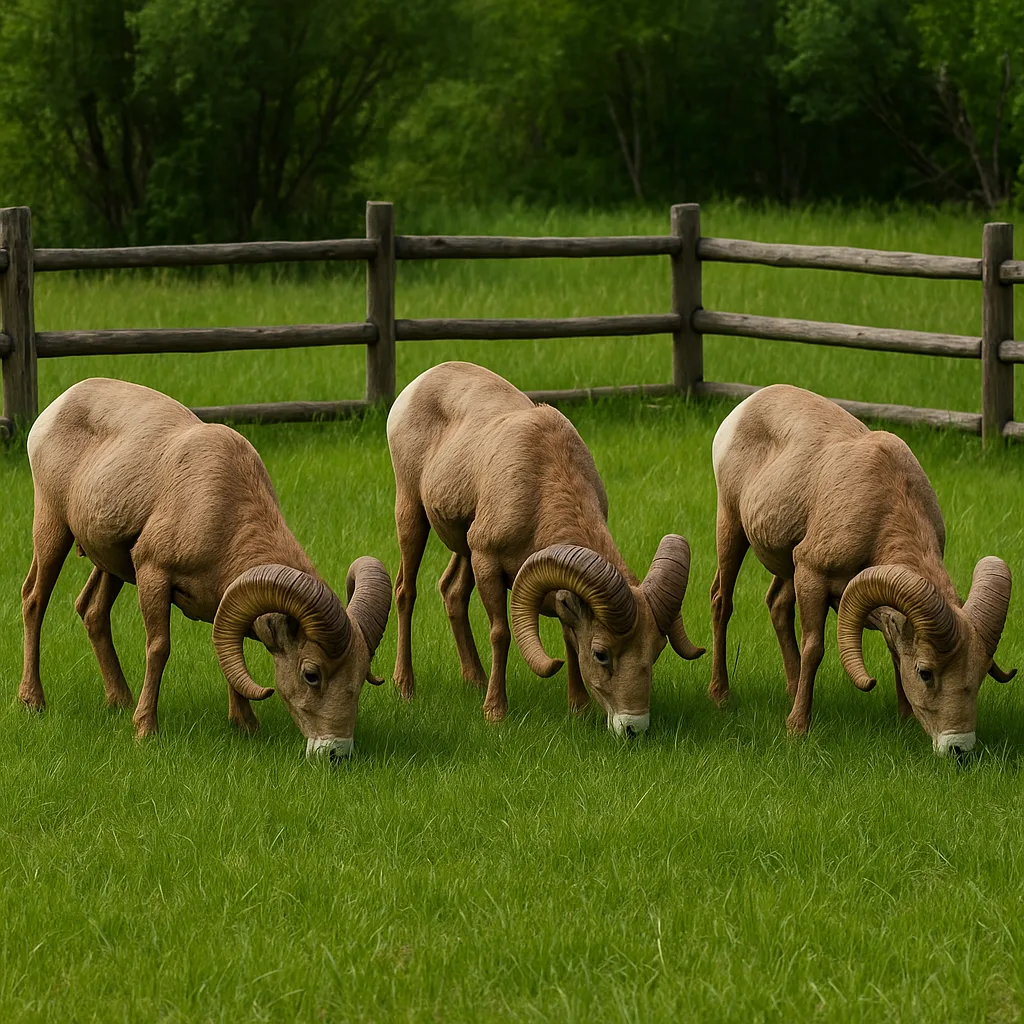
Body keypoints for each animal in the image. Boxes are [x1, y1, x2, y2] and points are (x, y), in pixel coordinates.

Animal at [19, 378, 392, 758]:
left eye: (362, 675)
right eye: (311, 674)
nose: (336, 752)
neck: (221, 511)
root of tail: (59, 404)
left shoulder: (221, 602)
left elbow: (226, 650)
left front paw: (245, 725)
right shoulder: (154, 575)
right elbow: (159, 648)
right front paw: (145, 730)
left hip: (111, 564)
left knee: (92, 611)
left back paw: (120, 700)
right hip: (53, 527)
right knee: (34, 600)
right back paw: (33, 701)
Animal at [385, 361, 703, 734]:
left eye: (655, 650)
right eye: (601, 654)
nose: (633, 727)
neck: (539, 490)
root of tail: (422, 381)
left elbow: (568, 639)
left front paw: (578, 709)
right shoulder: (488, 562)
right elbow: (501, 633)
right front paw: (495, 712)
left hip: (462, 546)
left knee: (452, 592)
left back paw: (475, 680)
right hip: (412, 514)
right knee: (405, 591)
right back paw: (405, 687)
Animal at [709, 383, 1014, 754]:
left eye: (980, 673)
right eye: (926, 672)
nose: (959, 748)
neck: (881, 513)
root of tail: (748, 405)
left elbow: (894, 649)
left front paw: (904, 718)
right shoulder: (812, 574)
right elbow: (814, 648)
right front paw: (797, 728)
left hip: (785, 565)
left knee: (777, 606)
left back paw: (791, 691)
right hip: (732, 526)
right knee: (722, 602)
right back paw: (721, 696)